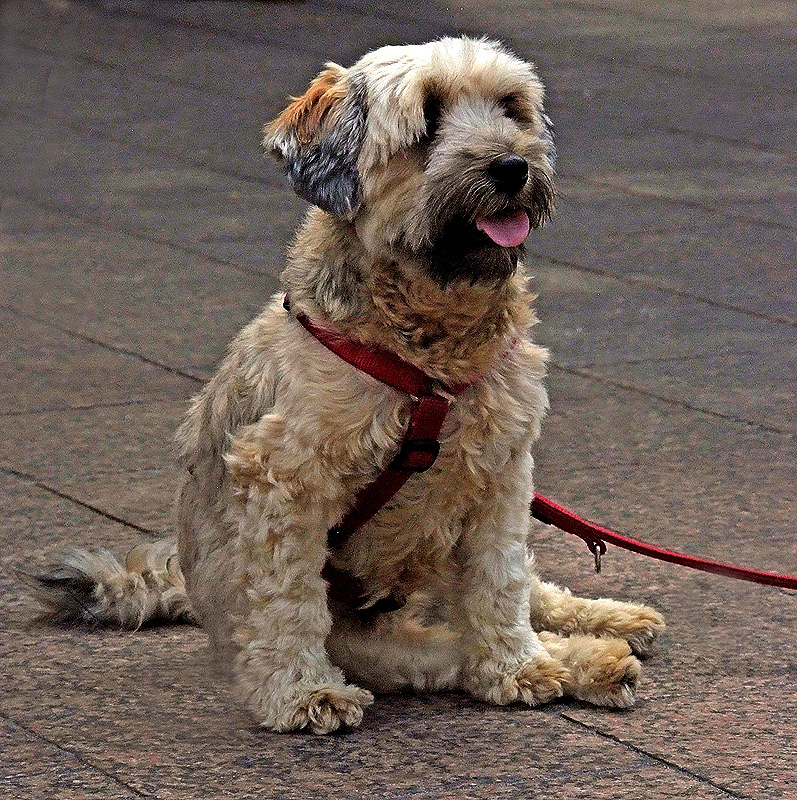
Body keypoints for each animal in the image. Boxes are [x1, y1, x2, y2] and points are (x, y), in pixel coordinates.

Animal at [24, 40, 664, 736]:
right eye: (427, 119)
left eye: (509, 106)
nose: (513, 166)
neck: (428, 354)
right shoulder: (286, 479)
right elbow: (289, 601)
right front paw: (304, 692)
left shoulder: (500, 475)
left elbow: (502, 582)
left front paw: (516, 665)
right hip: (376, 640)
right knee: (444, 654)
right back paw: (593, 661)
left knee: (526, 591)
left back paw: (607, 627)